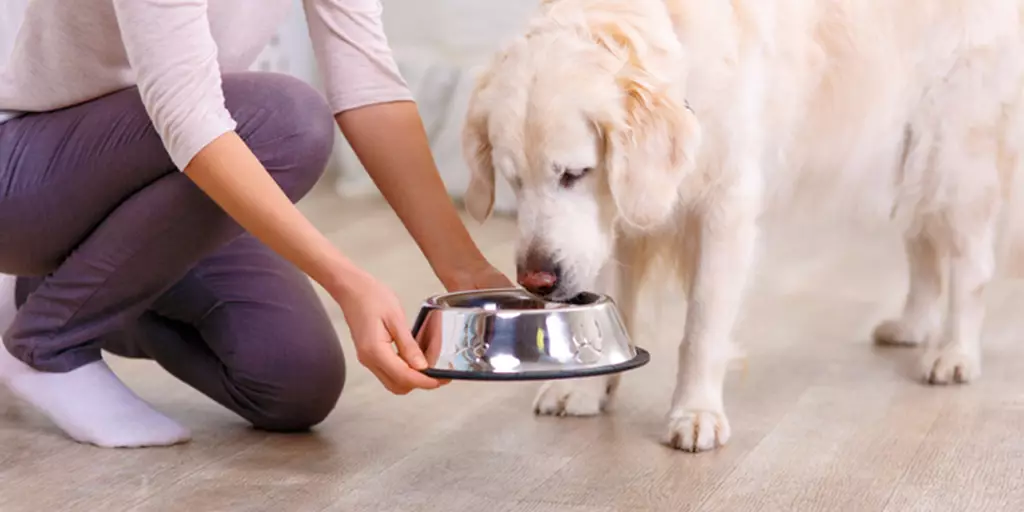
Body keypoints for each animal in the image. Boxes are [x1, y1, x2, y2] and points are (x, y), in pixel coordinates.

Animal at [458, 0, 1024, 450]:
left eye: (574, 173)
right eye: (513, 181)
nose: (537, 280)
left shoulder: (724, 207)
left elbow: (702, 328)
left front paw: (696, 413)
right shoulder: (613, 220)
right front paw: (585, 387)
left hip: (951, 151)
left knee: (971, 263)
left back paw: (953, 353)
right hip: (905, 158)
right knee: (922, 244)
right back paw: (911, 326)